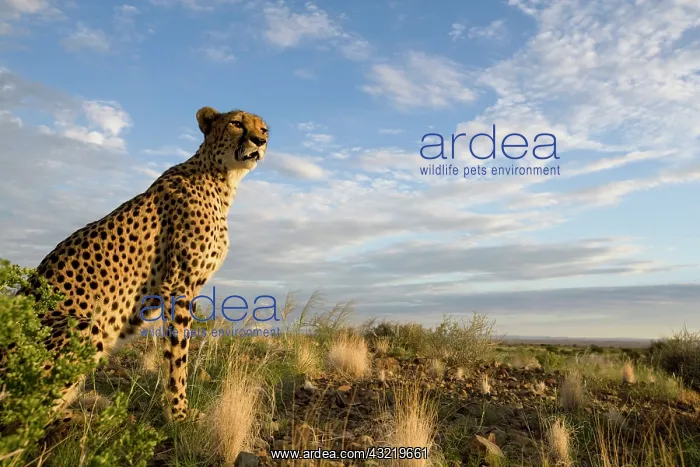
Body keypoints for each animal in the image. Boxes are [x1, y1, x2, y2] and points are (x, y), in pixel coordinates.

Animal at [6, 106, 268, 423]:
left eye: (263, 129)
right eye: (236, 123)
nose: (260, 141)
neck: (221, 178)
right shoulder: (178, 286)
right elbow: (178, 355)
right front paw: (179, 415)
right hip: (82, 325)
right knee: (27, 417)